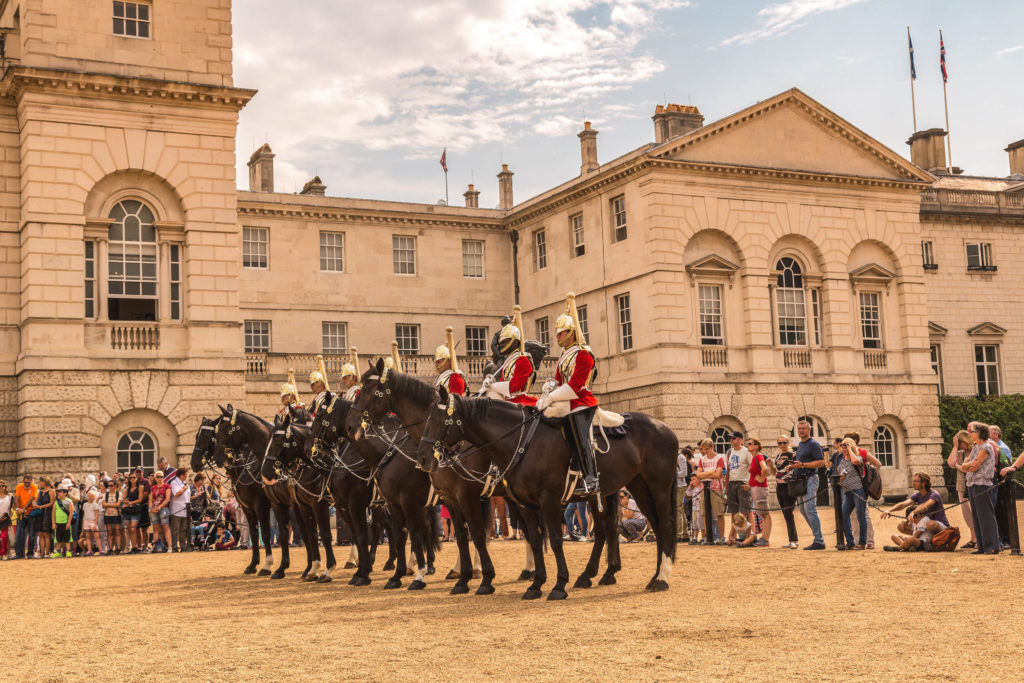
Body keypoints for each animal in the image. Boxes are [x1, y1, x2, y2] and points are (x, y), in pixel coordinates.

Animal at [189, 417, 274, 577]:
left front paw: (266, 566)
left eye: (207, 436)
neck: (245, 468)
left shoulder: (261, 506)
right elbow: (253, 533)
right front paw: (252, 565)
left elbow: (265, 533)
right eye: (196, 435)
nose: (194, 464)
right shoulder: (248, 508)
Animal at [311, 393, 440, 589]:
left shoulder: (357, 502)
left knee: (425, 528)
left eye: (319, 416)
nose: (313, 452)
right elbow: (358, 535)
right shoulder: (346, 506)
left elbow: (363, 535)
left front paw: (363, 574)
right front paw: (361, 570)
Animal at [415, 385, 679, 598]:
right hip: (634, 488)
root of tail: (666, 427)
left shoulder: (546, 499)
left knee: (664, 525)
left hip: (657, 487)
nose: (423, 459)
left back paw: (661, 578)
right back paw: (630, 576)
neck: (521, 442)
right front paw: (536, 584)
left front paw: (558, 584)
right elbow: (533, 538)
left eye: (439, 420)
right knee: (629, 527)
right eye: (426, 419)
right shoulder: (522, 503)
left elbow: (552, 539)